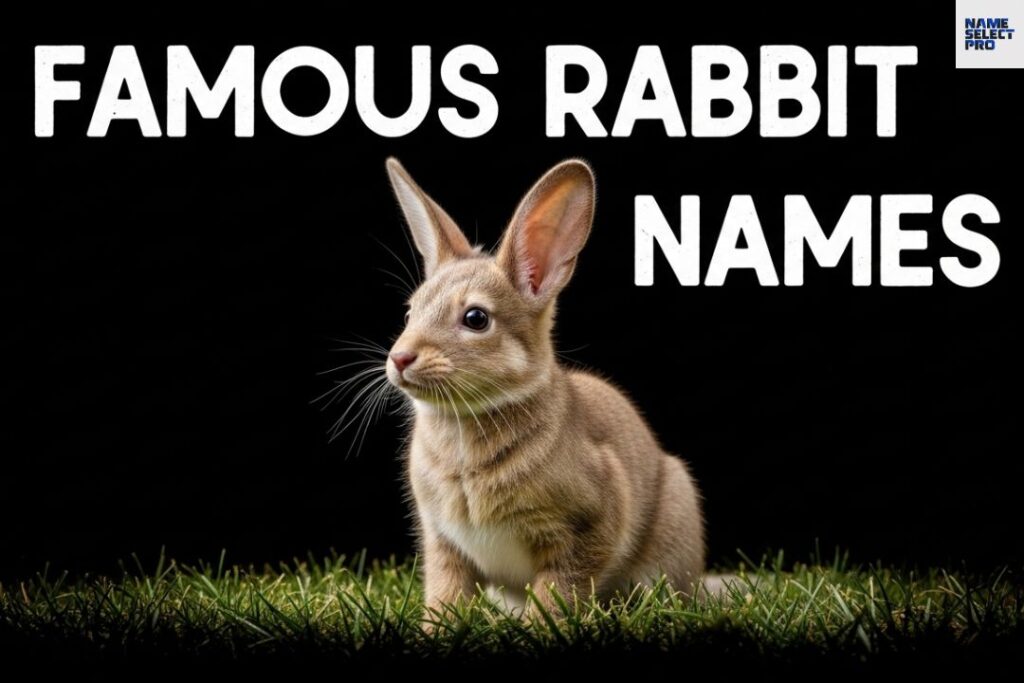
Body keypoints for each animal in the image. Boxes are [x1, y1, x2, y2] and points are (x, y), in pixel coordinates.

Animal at [383, 157, 705, 618]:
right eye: (411, 312)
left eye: (476, 318)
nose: (400, 358)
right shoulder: (444, 542)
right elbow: (446, 592)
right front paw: (435, 627)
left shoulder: (584, 529)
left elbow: (559, 590)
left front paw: (540, 626)